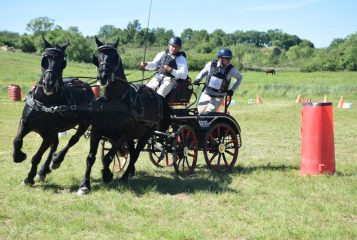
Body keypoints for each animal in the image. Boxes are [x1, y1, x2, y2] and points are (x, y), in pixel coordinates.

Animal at [12, 38, 94, 185]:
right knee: (55, 145)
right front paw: (19, 156)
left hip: (84, 124)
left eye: (63, 63)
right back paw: (44, 170)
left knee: (72, 141)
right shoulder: (25, 123)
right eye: (44, 59)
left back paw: (56, 161)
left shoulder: (48, 134)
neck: (44, 103)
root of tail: (86, 85)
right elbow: (17, 140)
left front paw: (29, 178)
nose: (49, 84)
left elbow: (37, 157)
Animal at [76, 37, 170, 195]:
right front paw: (84, 185)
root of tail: (157, 95)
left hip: (146, 134)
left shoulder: (121, 136)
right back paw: (130, 172)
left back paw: (125, 176)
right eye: (97, 57)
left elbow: (108, 157)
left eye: (115, 57)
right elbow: (91, 158)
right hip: (133, 135)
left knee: (136, 153)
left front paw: (107, 175)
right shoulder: (97, 131)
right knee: (132, 153)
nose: (103, 76)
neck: (114, 100)